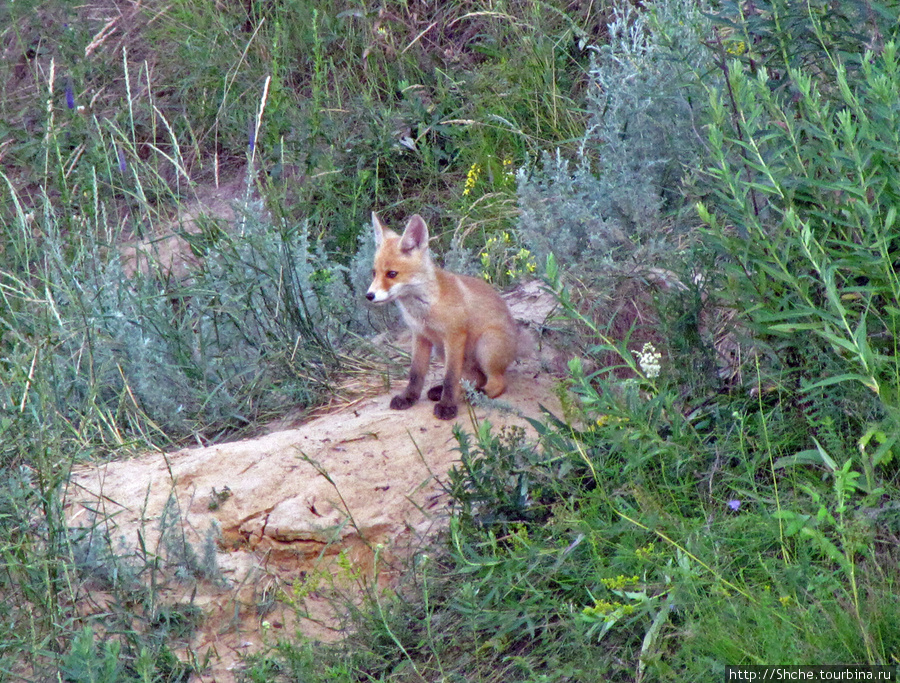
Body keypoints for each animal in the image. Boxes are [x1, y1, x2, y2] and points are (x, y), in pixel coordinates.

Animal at [366, 211, 520, 420]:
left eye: (392, 274)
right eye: (374, 273)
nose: (369, 295)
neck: (425, 309)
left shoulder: (454, 336)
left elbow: (450, 378)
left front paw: (447, 406)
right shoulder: (420, 336)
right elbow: (416, 374)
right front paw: (409, 398)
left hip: (486, 345)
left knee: (496, 383)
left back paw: (475, 395)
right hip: (441, 351)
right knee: (476, 378)